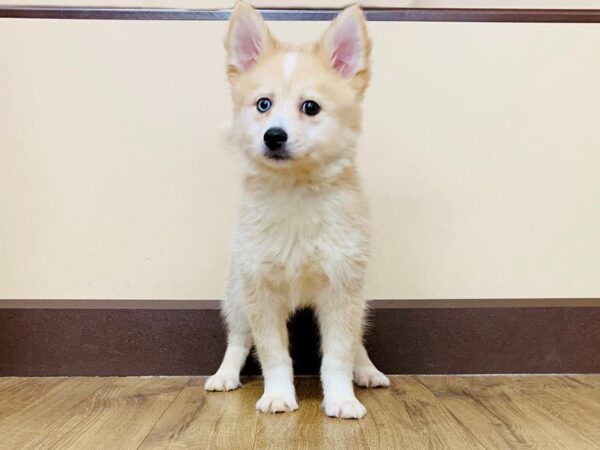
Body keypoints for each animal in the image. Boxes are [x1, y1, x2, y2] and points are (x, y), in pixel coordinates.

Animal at [204, 1, 390, 420]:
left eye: (310, 107)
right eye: (263, 105)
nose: (274, 135)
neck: (296, 193)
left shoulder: (342, 287)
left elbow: (338, 354)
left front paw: (341, 398)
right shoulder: (260, 290)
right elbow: (273, 354)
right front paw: (277, 395)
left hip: (359, 297)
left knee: (356, 340)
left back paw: (367, 370)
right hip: (237, 294)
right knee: (238, 338)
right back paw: (225, 375)